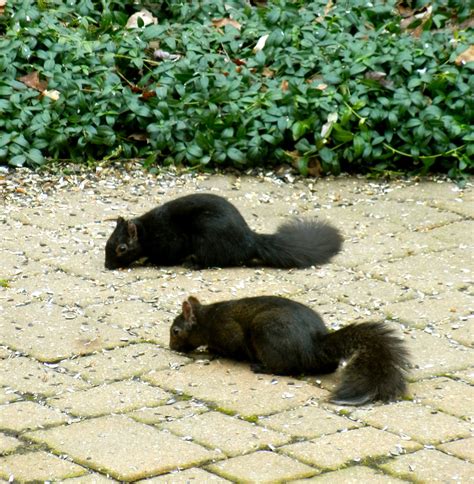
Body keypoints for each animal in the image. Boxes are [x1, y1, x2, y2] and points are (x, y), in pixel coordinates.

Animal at [104, 192, 340, 268]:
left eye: (122, 248)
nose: (107, 266)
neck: (146, 232)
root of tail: (250, 240)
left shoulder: (169, 241)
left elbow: (167, 256)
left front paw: (149, 260)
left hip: (209, 241)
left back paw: (194, 263)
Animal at [170, 294, 412, 404]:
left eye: (175, 331)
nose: (172, 347)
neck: (207, 319)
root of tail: (313, 345)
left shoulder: (229, 331)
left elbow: (231, 347)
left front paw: (211, 350)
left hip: (267, 334)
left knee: (285, 368)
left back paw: (260, 367)